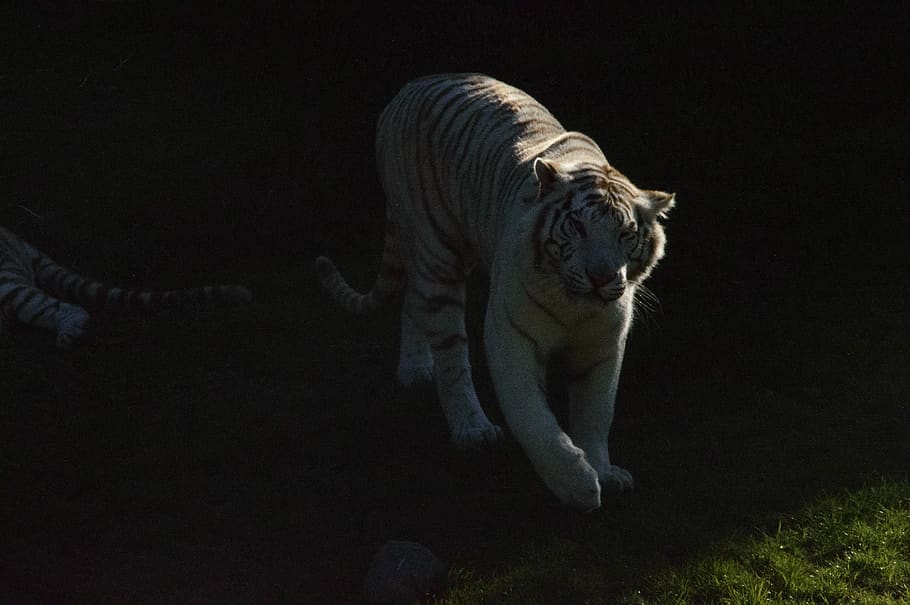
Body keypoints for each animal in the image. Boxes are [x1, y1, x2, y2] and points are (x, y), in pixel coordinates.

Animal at [316, 73, 674, 511]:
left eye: (625, 234)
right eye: (578, 227)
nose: (600, 278)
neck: (574, 306)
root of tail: (414, 84)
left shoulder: (604, 344)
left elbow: (596, 412)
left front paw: (603, 470)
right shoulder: (511, 334)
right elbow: (531, 416)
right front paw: (576, 484)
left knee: (413, 299)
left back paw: (415, 369)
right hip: (438, 252)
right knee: (450, 352)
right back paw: (473, 429)